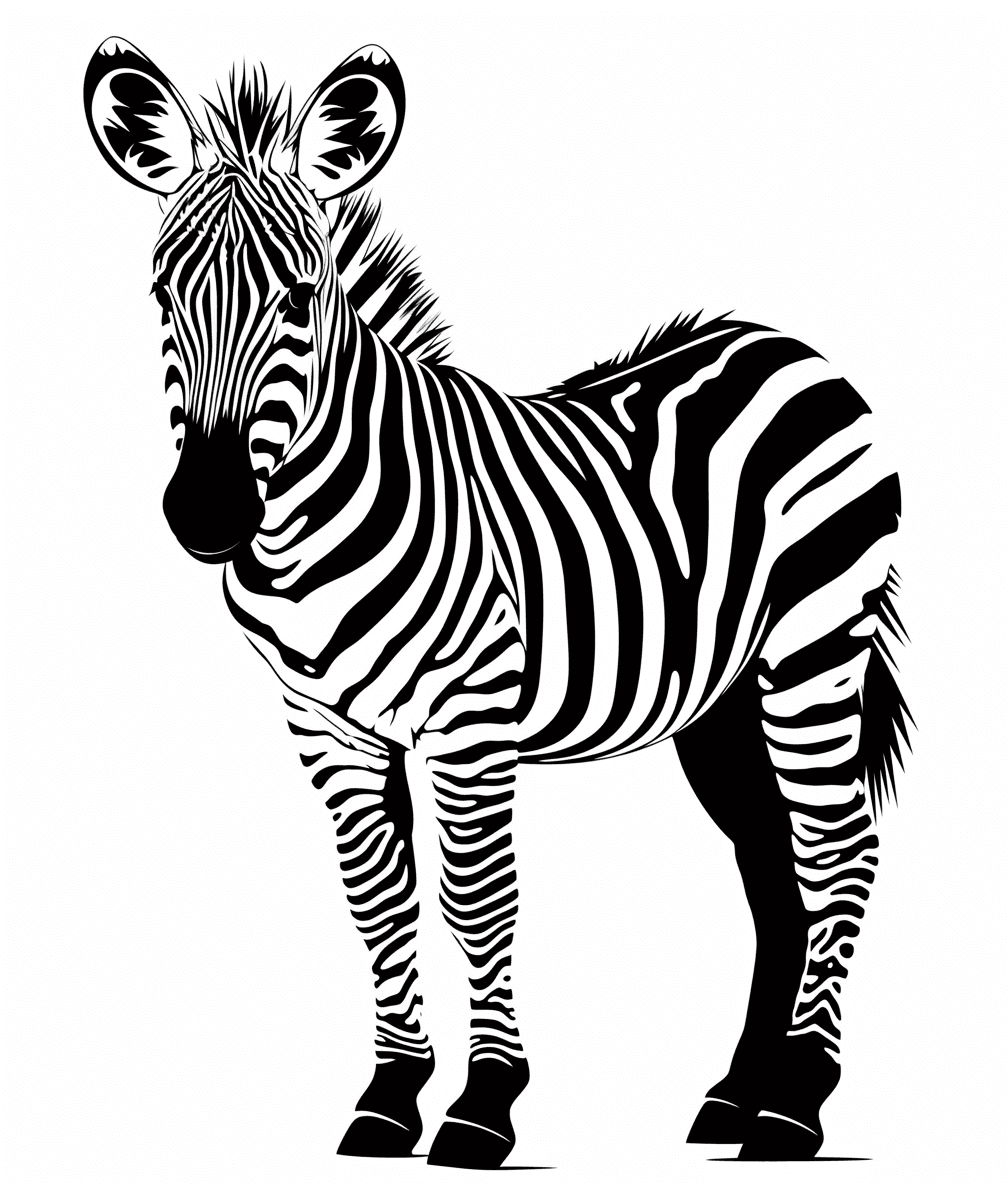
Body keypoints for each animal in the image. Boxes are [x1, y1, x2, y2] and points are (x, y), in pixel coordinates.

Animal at [84, 37, 912, 1166]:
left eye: (301, 296)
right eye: (163, 294)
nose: (206, 511)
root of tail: (790, 346)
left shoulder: (470, 720)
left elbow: (477, 900)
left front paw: (483, 1107)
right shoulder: (325, 725)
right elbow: (377, 898)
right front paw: (389, 1098)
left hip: (815, 646)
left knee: (840, 849)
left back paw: (795, 1105)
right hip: (724, 694)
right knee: (773, 863)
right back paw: (736, 1096)